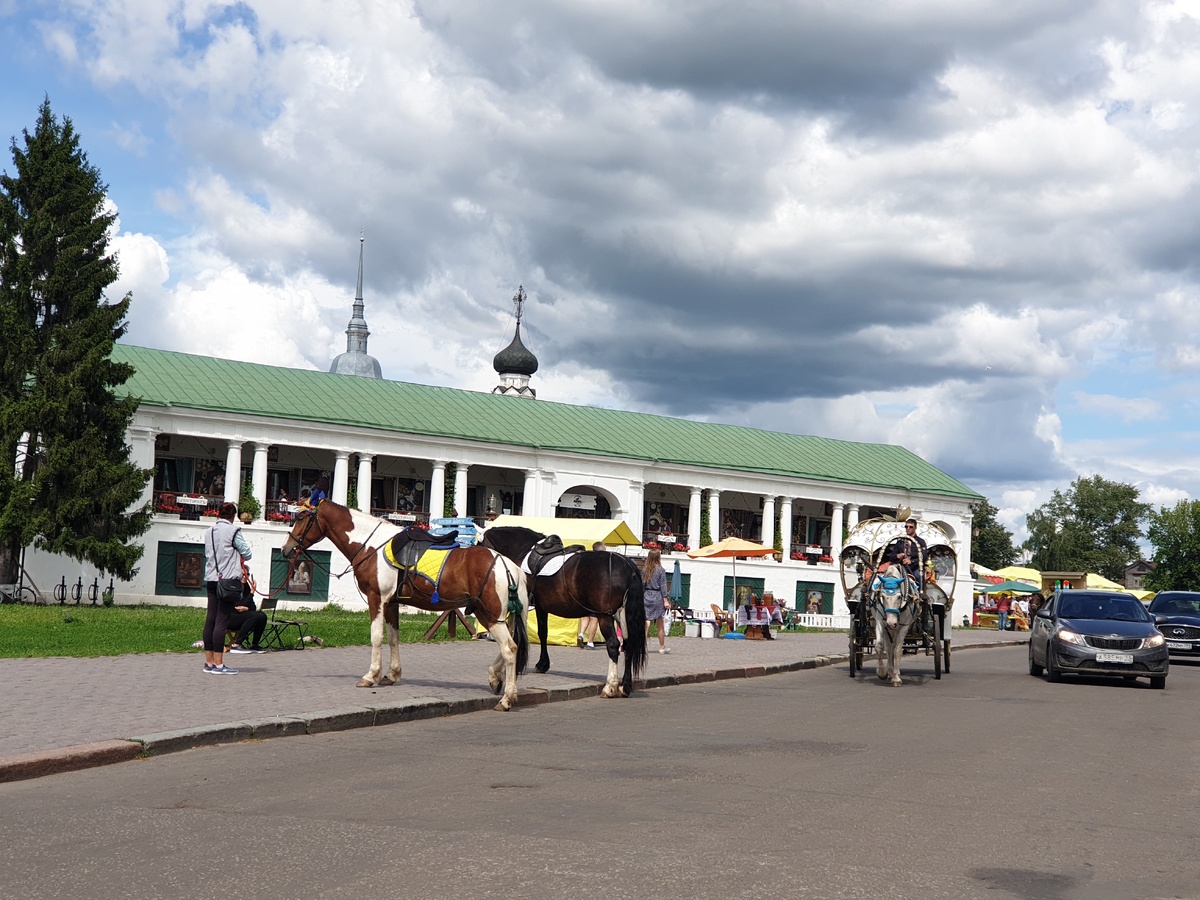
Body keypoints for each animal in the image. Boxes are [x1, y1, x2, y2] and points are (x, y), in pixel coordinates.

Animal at [280, 501, 530, 710]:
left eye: (301, 518)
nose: (286, 548)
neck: (372, 546)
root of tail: (508, 566)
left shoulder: (377, 599)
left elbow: (376, 637)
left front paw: (371, 675)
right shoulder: (391, 603)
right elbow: (393, 638)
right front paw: (392, 674)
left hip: (491, 615)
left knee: (510, 648)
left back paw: (506, 698)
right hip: (491, 615)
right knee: (512, 645)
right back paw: (495, 677)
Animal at [477, 525, 648, 700]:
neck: (522, 551)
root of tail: (628, 566)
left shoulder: (528, 607)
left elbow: (525, 634)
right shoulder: (541, 607)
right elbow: (542, 633)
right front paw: (542, 664)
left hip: (605, 616)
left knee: (614, 644)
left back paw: (610, 687)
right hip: (622, 615)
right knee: (628, 644)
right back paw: (625, 686)